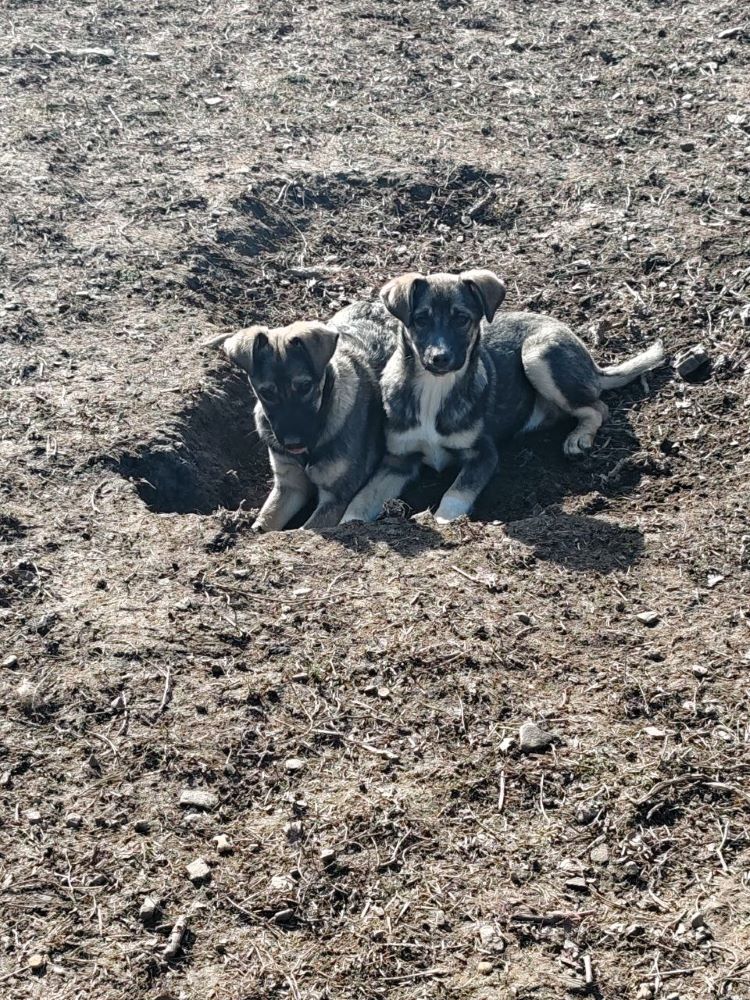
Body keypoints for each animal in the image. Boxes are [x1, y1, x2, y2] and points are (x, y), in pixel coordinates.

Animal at [206, 318, 394, 536]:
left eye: (305, 387)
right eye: (266, 393)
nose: (293, 443)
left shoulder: (335, 499)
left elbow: (305, 528)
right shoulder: (289, 487)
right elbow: (265, 521)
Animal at [344, 270, 668, 528]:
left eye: (462, 319)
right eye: (421, 320)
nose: (440, 358)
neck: (434, 390)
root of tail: (591, 361)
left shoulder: (483, 454)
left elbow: (455, 492)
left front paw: (444, 521)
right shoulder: (398, 460)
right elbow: (363, 496)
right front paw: (349, 524)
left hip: (537, 353)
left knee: (598, 406)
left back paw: (578, 438)